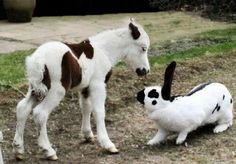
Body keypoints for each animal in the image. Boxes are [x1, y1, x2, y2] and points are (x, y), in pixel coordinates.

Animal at [12, 20, 149, 160]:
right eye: (143, 48)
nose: (145, 70)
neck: (104, 51)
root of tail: (38, 59)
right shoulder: (98, 84)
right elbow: (99, 111)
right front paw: (108, 144)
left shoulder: (86, 87)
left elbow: (86, 107)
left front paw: (88, 135)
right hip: (57, 90)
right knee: (40, 113)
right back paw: (49, 151)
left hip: (35, 88)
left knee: (22, 108)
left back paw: (18, 149)